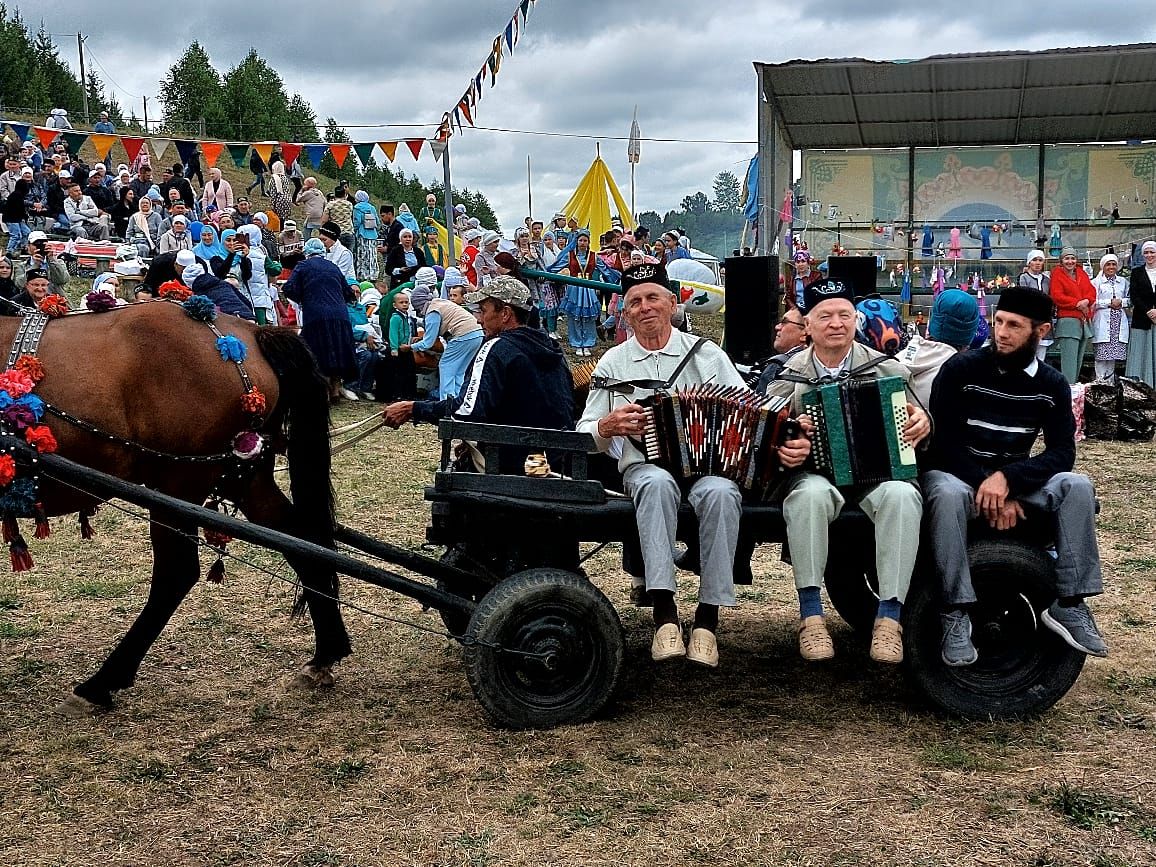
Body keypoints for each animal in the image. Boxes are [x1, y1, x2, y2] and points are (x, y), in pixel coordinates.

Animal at [2, 302, 349, 716]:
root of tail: (249, 332)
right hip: (242, 476)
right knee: (303, 541)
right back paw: (326, 654)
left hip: (179, 485)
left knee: (176, 573)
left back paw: (103, 681)